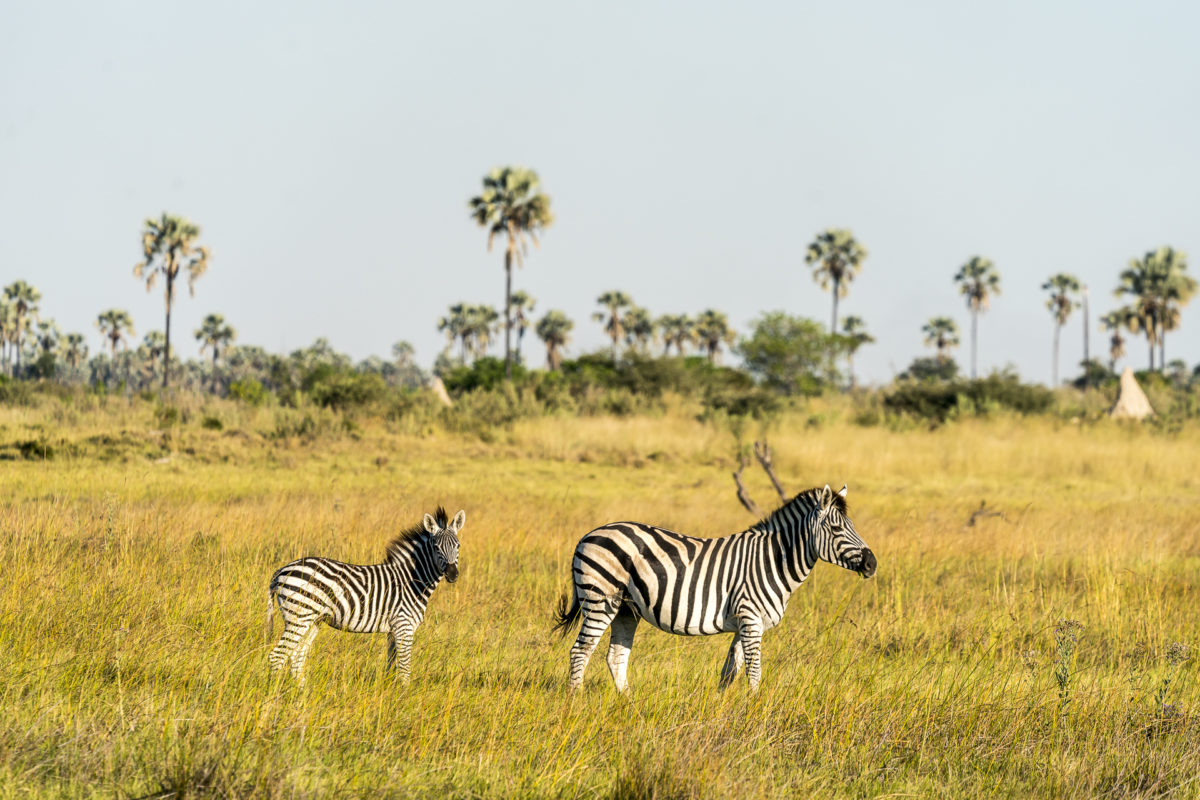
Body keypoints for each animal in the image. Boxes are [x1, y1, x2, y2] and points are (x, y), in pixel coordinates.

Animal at [267, 506, 463, 681]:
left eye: (458, 546)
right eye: (436, 547)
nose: (453, 574)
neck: (412, 580)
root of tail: (281, 570)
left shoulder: (393, 630)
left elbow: (391, 666)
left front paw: (388, 692)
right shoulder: (404, 626)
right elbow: (404, 670)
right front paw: (403, 696)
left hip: (312, 620)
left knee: (297, 656)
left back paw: (301, 694)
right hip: (298, 617)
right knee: (277, 656)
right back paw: (275, 694)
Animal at [549, 484, 873, 690]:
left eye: (853, 525)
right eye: (836, 529)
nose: (872, 564)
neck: (771, 561)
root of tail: (587, 535)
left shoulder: (745, 622)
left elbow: (730, 672)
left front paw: (726, 711)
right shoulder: (750, 618)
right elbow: (754, 672)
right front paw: (755, 711)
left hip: (626, 609)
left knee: (615, 657)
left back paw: (629, 704)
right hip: (601, 599)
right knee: (580, 652)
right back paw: (576, 702)